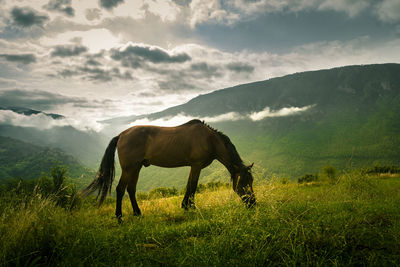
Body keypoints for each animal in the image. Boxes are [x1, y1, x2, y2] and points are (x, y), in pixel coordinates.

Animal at [83, 120, 255, 221]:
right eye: (244, 182)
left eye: (251, 181)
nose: (253, 203)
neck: (209, 139)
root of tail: (121, 135)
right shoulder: (196, 165)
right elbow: (193, 186)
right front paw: (191, 207)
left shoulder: (193, 166)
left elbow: (189, 185)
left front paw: (185, 206)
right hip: (129, 168)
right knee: (120, 189)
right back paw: (119, 217)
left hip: (136, 167)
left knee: (131, 189)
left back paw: (137, 213)